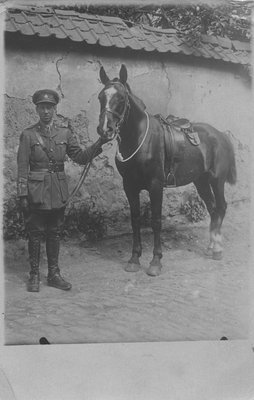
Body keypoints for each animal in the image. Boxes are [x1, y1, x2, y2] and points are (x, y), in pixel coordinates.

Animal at [96, 65, 236, 276]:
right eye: (100, 97)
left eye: (121, 98)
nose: (105, 129)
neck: (140, 139)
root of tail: (220, 135)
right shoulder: (129, 186)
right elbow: (135, 220)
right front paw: (134, 259)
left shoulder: (156, 186)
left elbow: (156, 221)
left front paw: (155, 261)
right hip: (201, 181)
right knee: (212, 209)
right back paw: (211, 246)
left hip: (216, 180)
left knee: (221, 207)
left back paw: (218, 248)